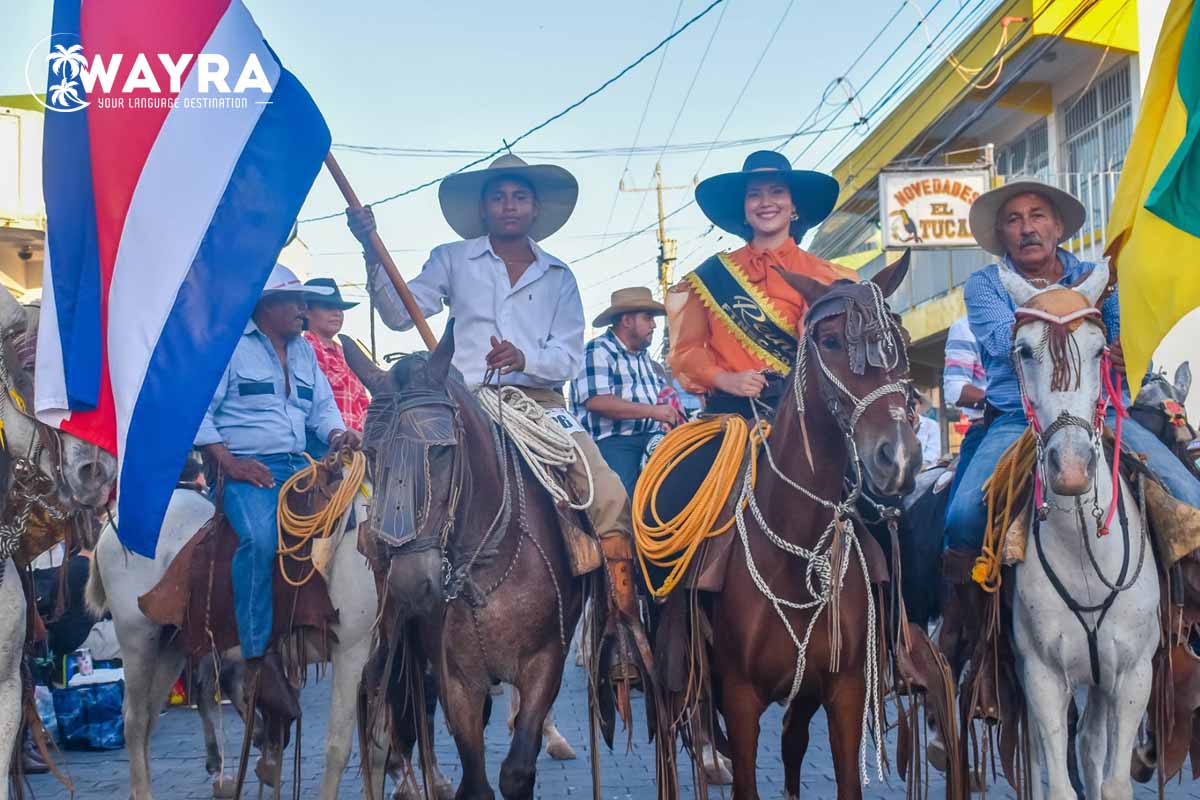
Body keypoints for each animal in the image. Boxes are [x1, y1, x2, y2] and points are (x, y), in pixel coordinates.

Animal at [85, 484, 446, 796]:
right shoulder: (351, 654)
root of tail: (110, 527)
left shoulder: (384, 660)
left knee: (151, 717)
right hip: (139, 640)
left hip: (171, 646)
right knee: (135, 721)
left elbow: (378, 749)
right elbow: (339, 748)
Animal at [343, 326, 633, 800]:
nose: (410, 583)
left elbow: (517, 770)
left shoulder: (545, 662)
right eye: (370, 452)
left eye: (442, 452)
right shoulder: (456, 677)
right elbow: (475, 779)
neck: (487, 569)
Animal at [700, 260, 916, 796]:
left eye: (900, 341)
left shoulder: (843, 691)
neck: (792, 548)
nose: (899, 458)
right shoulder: (739, 698)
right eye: (833, 341)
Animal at [1003, 262, 1161, 800]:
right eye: (1023, 351)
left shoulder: (1133, 676)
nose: (1071, 469)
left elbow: (1112, 782)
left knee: (1092, 747)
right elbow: (1056, 785)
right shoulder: (1042, 677)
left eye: (1099, 349)